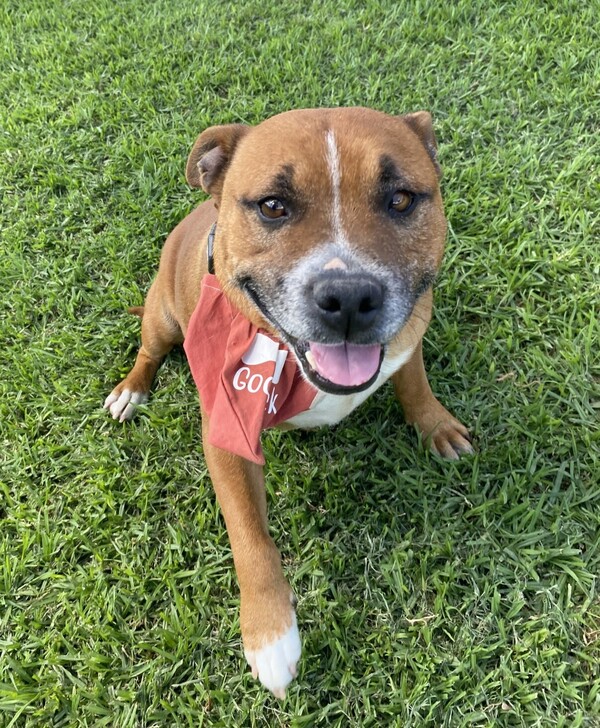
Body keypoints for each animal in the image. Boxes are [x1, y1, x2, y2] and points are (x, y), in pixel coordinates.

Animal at [104, 107, 473, 698]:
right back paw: (130, 391)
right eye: (273, 206)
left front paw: (436, 427)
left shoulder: (412, 330)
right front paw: (270, 635)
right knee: (148, 351)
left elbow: (415, 385)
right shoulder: (228, 433)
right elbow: (250, 537)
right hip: (161, 315)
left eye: (400, 199)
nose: (349, 297)